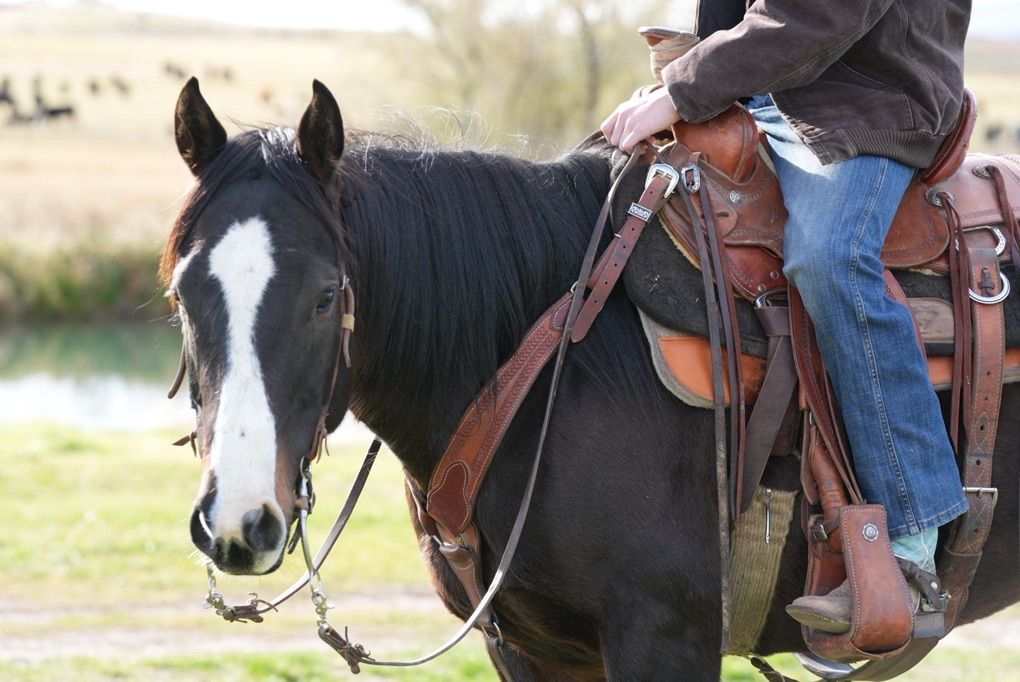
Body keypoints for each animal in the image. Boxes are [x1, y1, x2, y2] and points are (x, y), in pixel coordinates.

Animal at [162, 77, 1020, 680]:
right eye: (181, 292)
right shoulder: (534, 651)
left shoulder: (664, 639)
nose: (238, 522)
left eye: (324, 296)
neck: (549, 356)